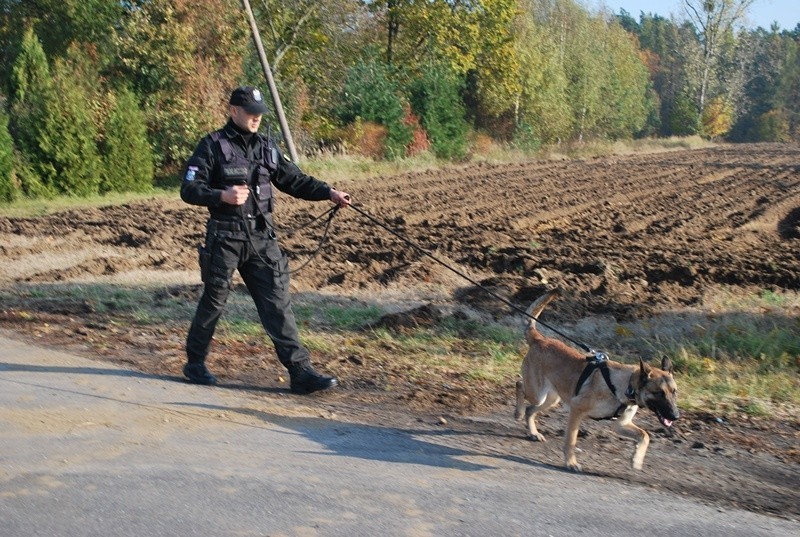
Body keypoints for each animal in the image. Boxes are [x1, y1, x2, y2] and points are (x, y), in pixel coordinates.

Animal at [516, 288, 680, 468]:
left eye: (674, 392)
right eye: (659, 393)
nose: (676, 416)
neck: (626, 386)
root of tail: (540, 339)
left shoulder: (620, 424)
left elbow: (645, 435)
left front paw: (636, 459)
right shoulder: (576, 410)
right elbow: (571, 440)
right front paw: (570, 462)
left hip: (552, 399)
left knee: (530, 410)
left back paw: (533, 432)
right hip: (538, 393)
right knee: (520, 385)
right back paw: (518, 413)